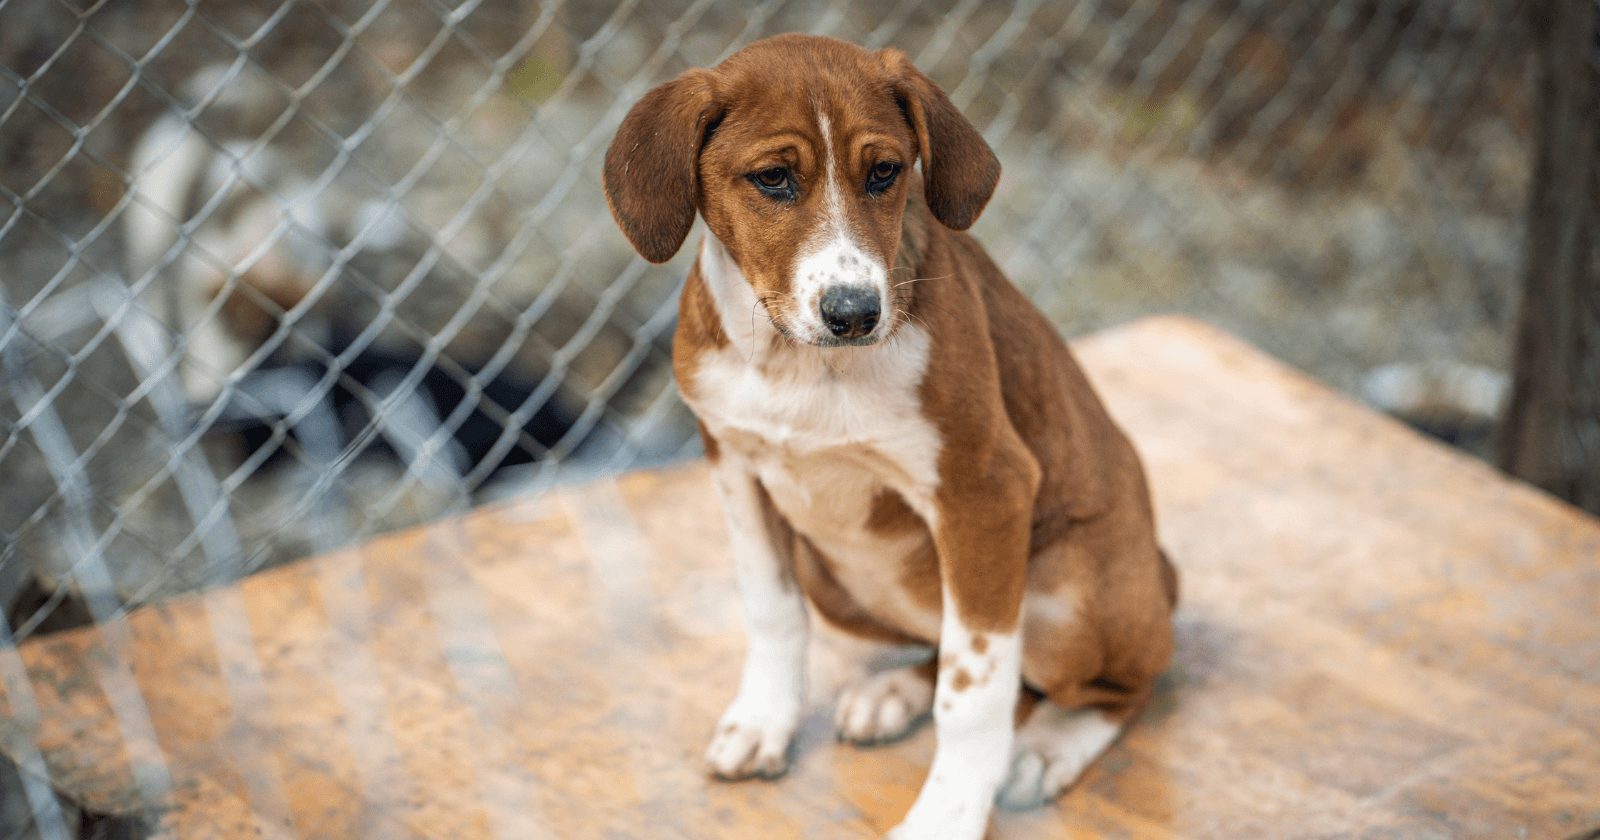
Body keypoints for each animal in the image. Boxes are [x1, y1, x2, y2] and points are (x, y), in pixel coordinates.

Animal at [601, 34, 1177, 838]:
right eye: (773, 179)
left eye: (884, 172)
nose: (855, 313)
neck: (801, 366)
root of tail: (1162, 578)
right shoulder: (733, 463)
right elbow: (770, 609)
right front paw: (766, 721)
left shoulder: (984, 491)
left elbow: (974, 694)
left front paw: (948, 815)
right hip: (835, 578)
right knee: (952, 646)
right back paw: (896, 693)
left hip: (1068, 592)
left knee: (1117, 681)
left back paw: (1046, 747)